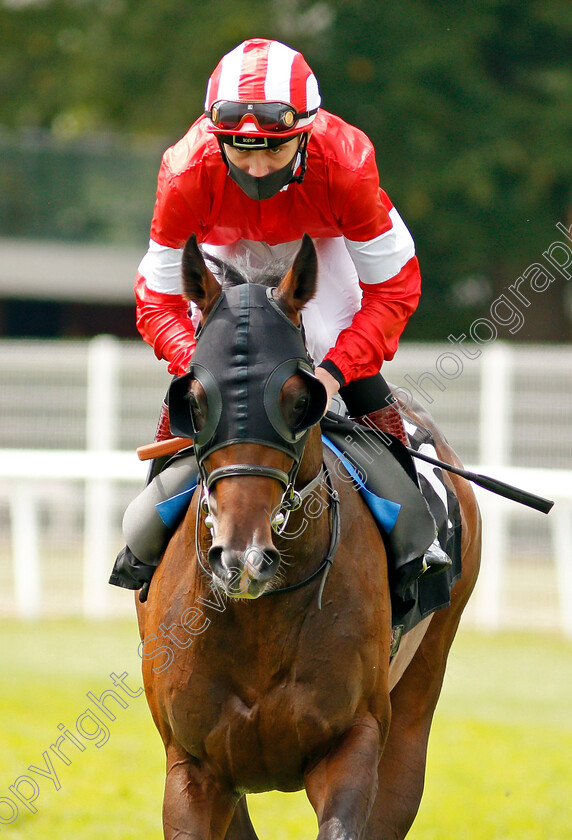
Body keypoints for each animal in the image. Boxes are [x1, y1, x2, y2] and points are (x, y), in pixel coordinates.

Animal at [136, 235, 480, 840]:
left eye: (300, 401)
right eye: (194, 402)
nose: (243, 557)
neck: (259, 619)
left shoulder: (353, 741)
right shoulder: (195, 765)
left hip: (419, 695)